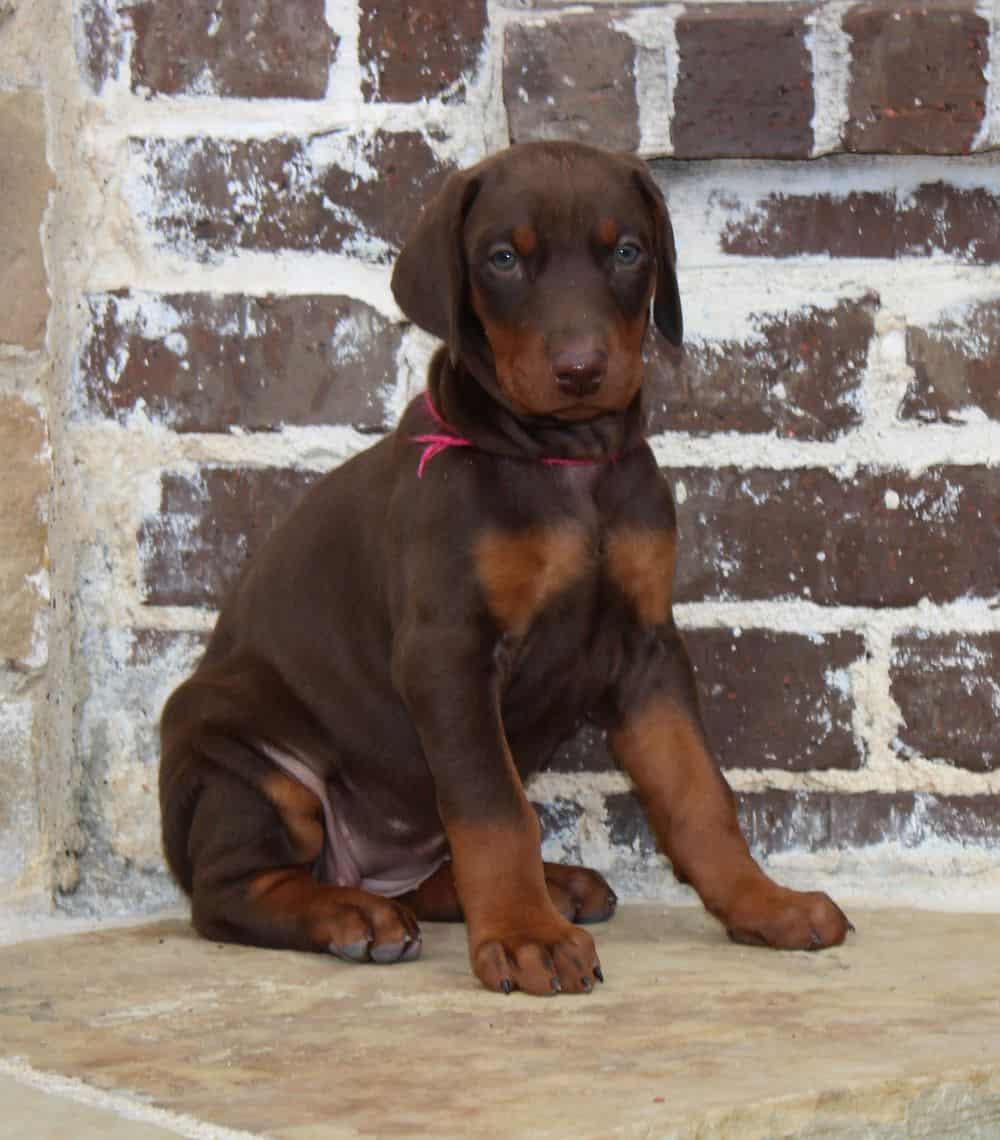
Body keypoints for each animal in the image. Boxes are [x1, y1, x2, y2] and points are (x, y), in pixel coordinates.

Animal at [158, 142, 848, 994]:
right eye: (502, 259)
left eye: (628, 252)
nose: (582, 369)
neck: (565, 460)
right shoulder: (448, 651)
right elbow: (495, 809)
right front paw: (524, 937)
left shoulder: (648, 649)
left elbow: (697, 791)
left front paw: (762, 903)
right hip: (242, 756)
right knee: (229, 891)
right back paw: (353, 914)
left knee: (426, 871)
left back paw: (548, 886)